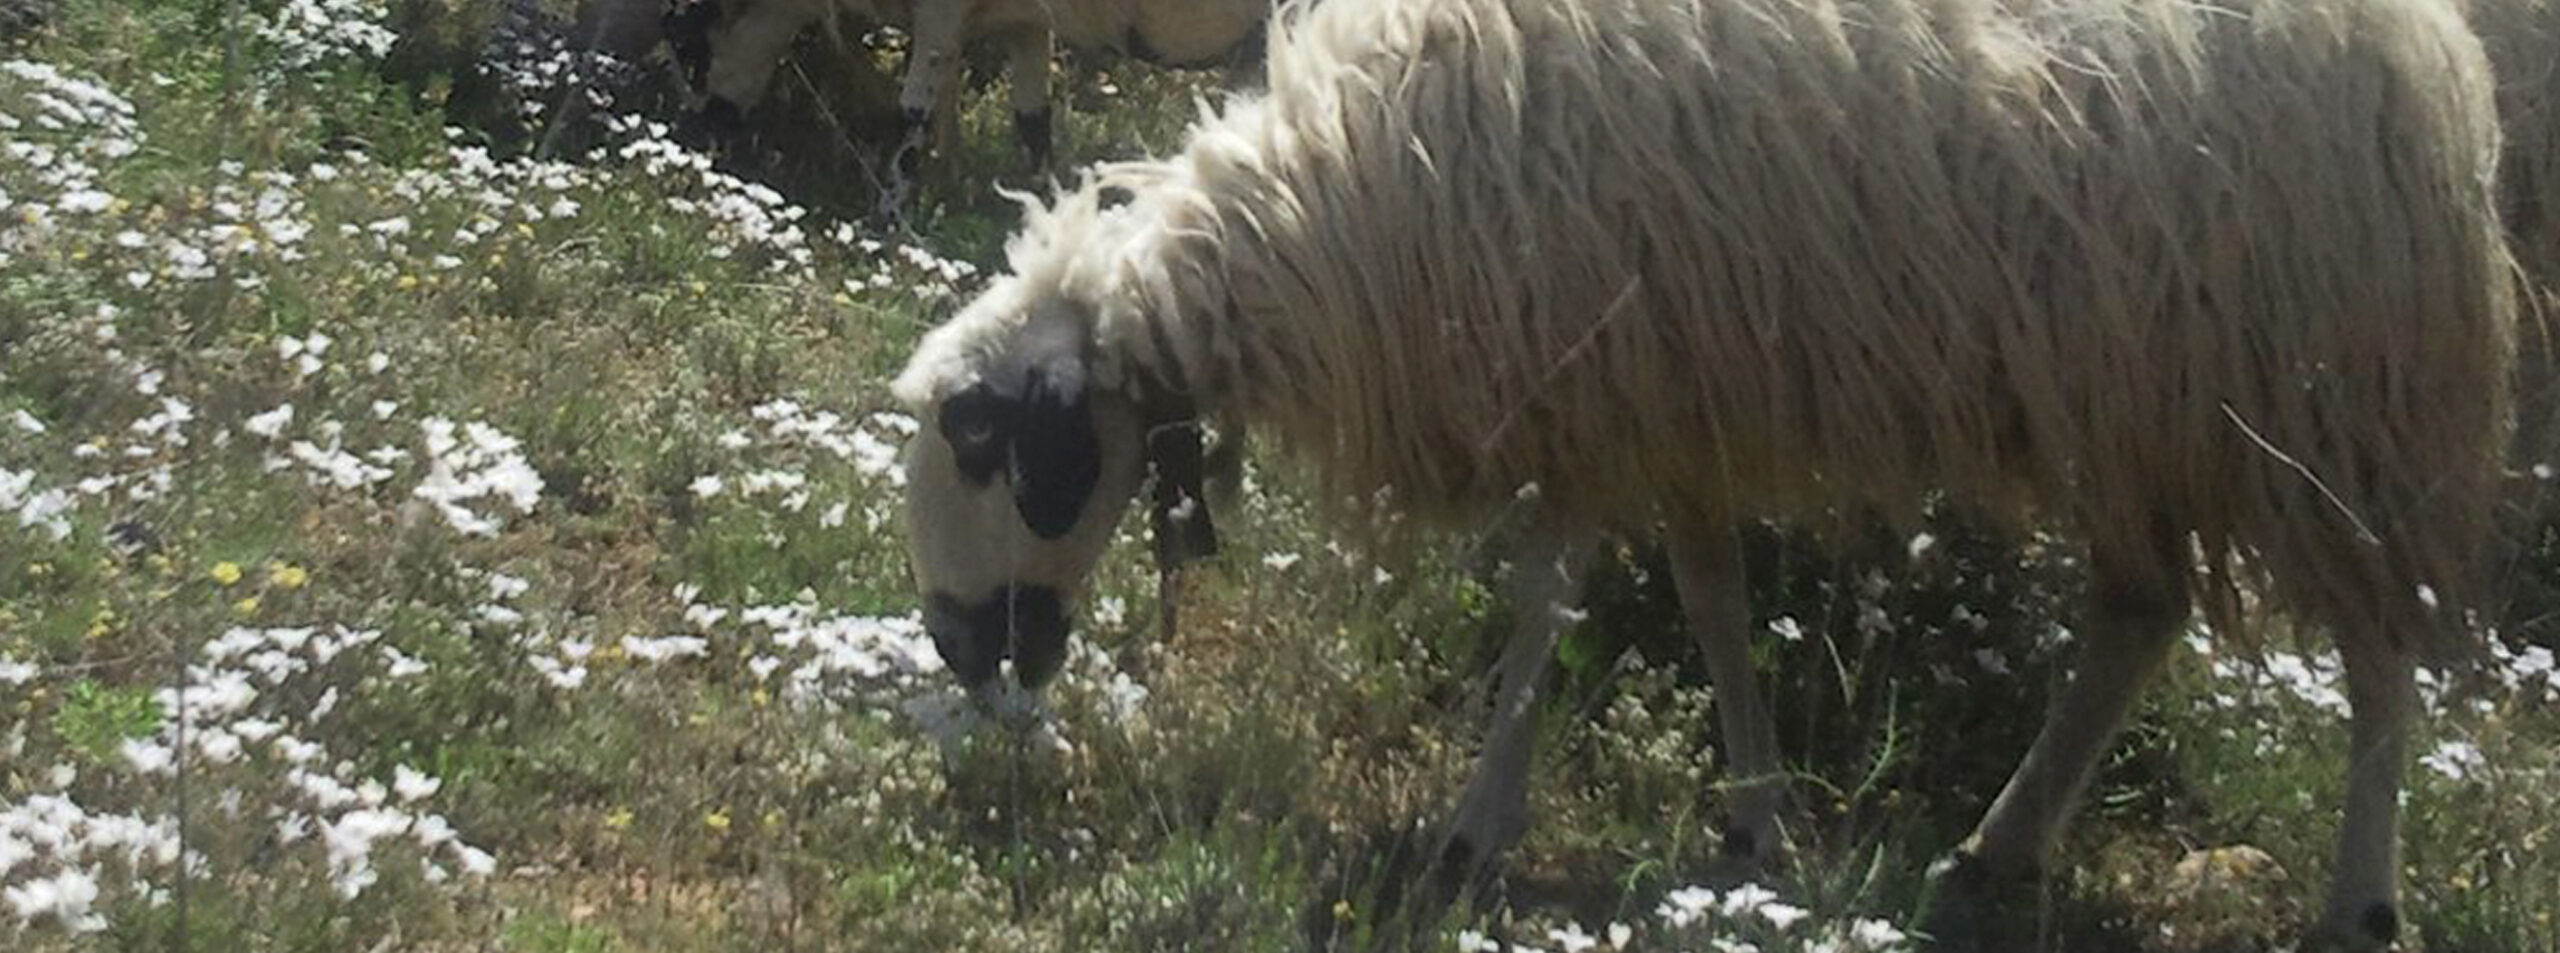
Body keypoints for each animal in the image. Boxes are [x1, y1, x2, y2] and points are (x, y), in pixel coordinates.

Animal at [889, 0, 2517, 949]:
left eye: (976, 437)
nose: (958, 648)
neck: (1333, 212)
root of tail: (2435, 57)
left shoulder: (1590, 384)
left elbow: (1550, 601)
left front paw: (1475, 829)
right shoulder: (1670, 396)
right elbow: (1715, 594)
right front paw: (1755, 812)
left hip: (2332, 408)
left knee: (2376, 652)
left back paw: (2360, 898)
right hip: (2139, 405)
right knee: (2140, 612)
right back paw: (1992, 852)